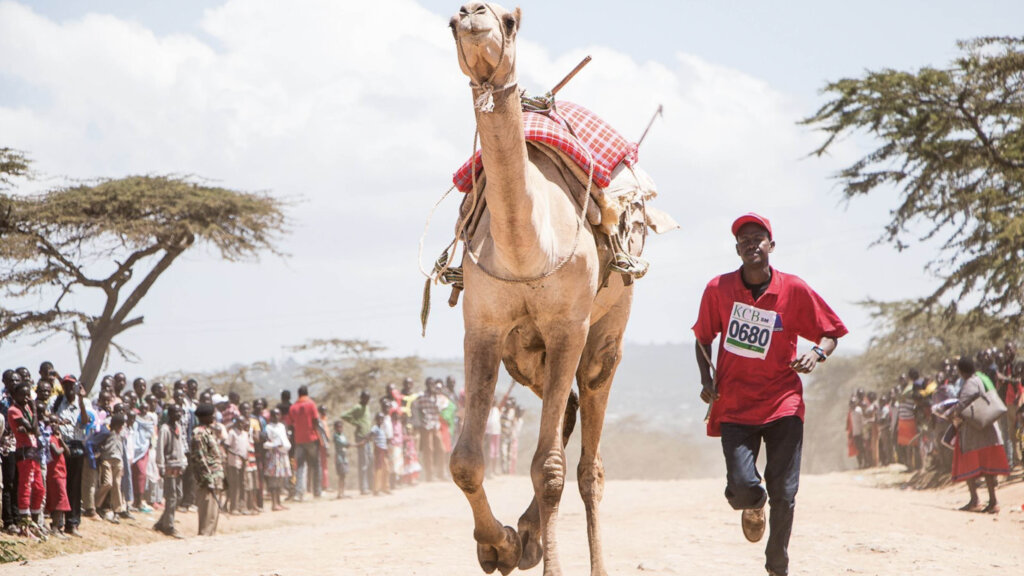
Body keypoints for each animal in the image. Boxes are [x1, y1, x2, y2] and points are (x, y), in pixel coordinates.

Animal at [448, 4, 636, 576]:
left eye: (511, 21)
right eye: (451, 23)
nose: (473, 13)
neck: (527, 248)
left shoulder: (568, 327)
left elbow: (549, 469)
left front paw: (525, 548)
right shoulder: (483, 328)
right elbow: (465, 461)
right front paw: (499, 545)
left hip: (603, 333)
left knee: (588, 460)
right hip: (523, 353)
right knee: (567, 411)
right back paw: (526, 535)